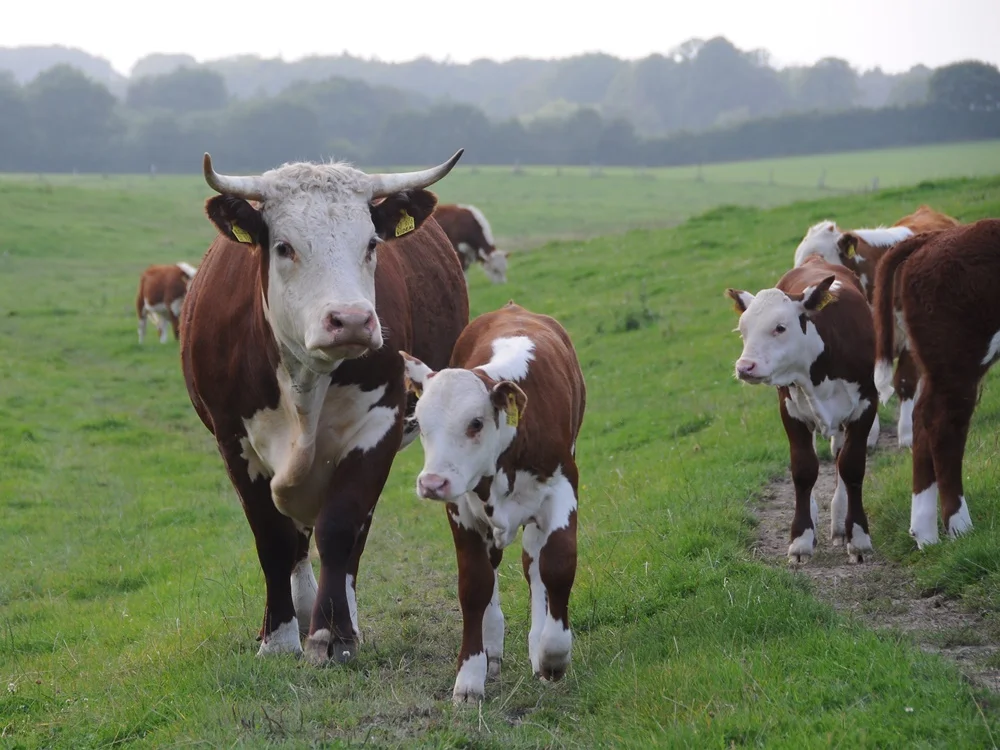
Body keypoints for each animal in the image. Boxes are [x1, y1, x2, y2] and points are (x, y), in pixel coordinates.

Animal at [180, 149, 470, 664]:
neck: (304, 383)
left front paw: (332, 634)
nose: (351, 320)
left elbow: (340, 528)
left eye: (371, 243)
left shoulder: (378, 428)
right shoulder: (235, 442)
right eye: (284, 247)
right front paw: (278, 638)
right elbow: (272, 538)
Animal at [399, 300, 585, 703]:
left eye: (475, 422)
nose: (432, 483)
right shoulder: (462, 511)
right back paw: (492, 647)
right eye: (420, 423)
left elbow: (557, 564)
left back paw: (537, 643)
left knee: (533, 562)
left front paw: (552, 654)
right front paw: (470, 677)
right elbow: (475, 586)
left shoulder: (561, 489)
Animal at [726, 255, 878, 564]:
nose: (745, 367)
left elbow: (852, 466)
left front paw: (858, 537)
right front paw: (801, 539)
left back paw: (839, 521)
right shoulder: (791, 413)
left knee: (840, 457)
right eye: (743, 330)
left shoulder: (867, 404)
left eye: (780, 327)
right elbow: (804, 470)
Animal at [872, 219, 1000, 549]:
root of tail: (933, 238)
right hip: (957, 358)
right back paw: (960, 526)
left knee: (922, 418)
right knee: (943, 425)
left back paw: (925, 533)